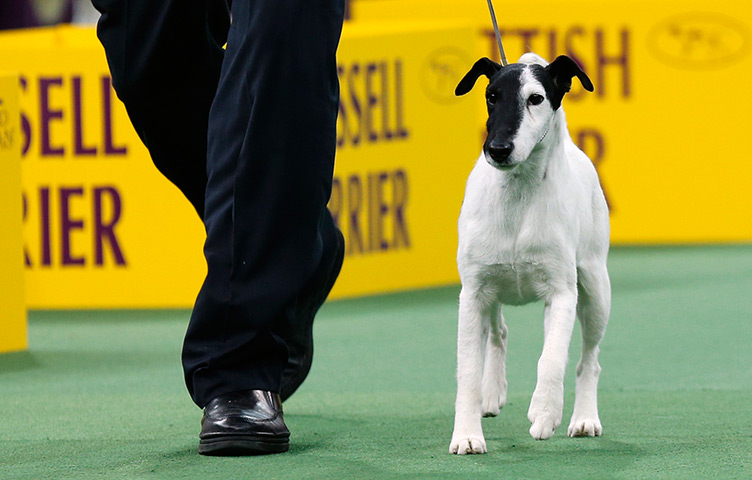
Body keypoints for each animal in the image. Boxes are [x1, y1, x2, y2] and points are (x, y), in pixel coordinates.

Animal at [450, 53, 608, 454]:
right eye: (491, 95)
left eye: (535, 99)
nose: (497, 149)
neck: (518, 197)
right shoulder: (472, 294)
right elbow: (467, 372)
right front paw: (467, 435)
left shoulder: (563, 294)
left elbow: (551, 360)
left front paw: (545, 412)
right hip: (491, 294)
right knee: (498, 332)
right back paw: (492, 393)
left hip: (596, 290)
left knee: (588, 360)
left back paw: (584, 417)